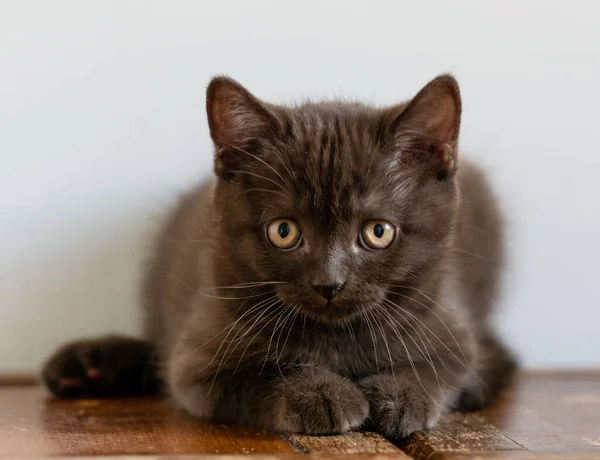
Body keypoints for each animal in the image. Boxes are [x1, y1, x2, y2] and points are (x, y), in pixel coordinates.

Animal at [42, 74, 516, 438]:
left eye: (377, 232)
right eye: (284, 231)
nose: (329, 283)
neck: (337, 341)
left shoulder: (449, 325)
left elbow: (441, 365)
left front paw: (402, 396)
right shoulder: (198, 361)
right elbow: (257, 373)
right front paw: (322, 393)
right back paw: (86, 365)